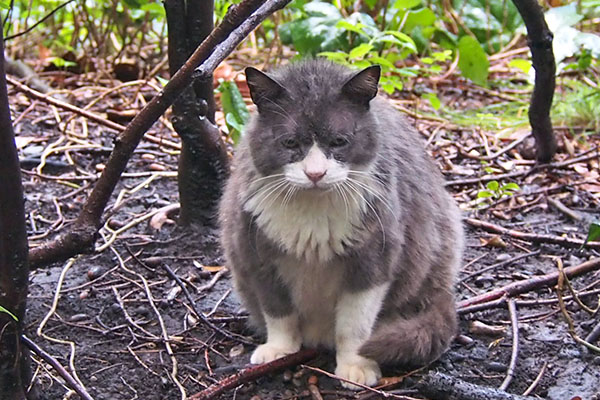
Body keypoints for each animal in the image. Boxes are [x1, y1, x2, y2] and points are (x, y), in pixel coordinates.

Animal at [220, 60, 464, 390]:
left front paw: (356, 365)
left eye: (339, 141)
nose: (315, 174)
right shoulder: (255, 253)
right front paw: (279, 349)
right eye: (290, 142)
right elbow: (278, 311)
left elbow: (354, 325)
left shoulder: (374, 261)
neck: (313, 215)